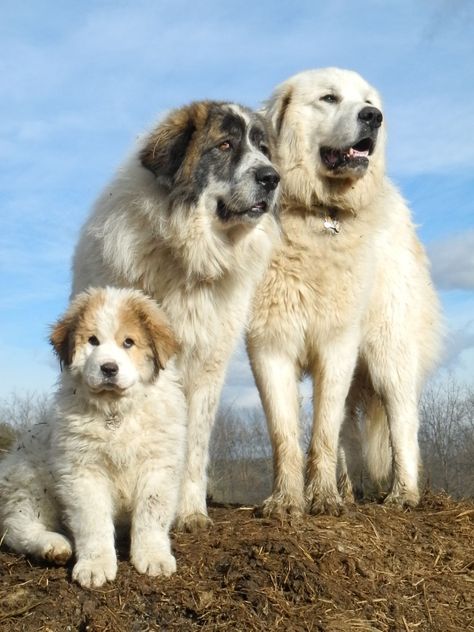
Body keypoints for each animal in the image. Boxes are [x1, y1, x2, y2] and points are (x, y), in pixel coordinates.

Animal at [0, 286, 185, 588]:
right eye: (93, 341)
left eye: (128, 342)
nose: (108, 368)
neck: (115, 413)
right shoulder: (83, 472)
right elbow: (93, 522)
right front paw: (95, 565)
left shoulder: (157, 465)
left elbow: (151, 515)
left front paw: (153, 557)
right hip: (32, 482)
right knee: (18, 527)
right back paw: (53, 545)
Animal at [71, 101, 282, 532]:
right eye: (224, 145)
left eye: (263, 148)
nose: (273, 178)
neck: (189, 255)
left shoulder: (207, 367)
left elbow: (195, 445)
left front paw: (189, 512)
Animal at [246, 69, 442, 516]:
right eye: (329, 98)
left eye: (368, 101)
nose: (374, 117)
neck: (321, 215)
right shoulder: (269, 345)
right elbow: (286, 434)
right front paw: (287, 501)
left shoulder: (336, 343)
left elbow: (322, 430)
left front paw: (323, 499)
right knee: (346, 433)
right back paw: (349, 490)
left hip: (388, 350)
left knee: (402, 421)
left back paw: (403, 494)